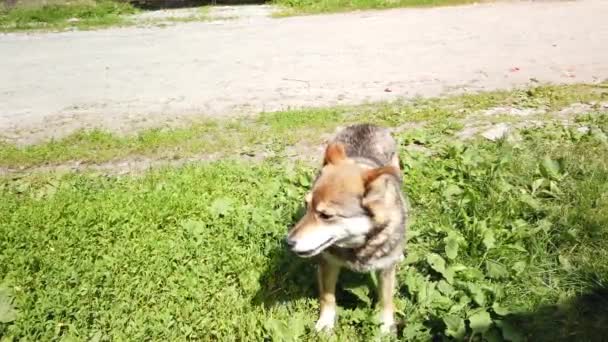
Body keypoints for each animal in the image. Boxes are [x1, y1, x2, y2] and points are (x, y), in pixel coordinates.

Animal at [284, 123, 408, 334]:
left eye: (326, 216)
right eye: (306, 205)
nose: (288, 242)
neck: (357, 247)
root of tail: (365, 124)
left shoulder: (385, 270)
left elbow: (386, 300)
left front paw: (385, 327)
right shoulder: (328, 263)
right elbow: (327, 297)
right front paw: (325, 323)